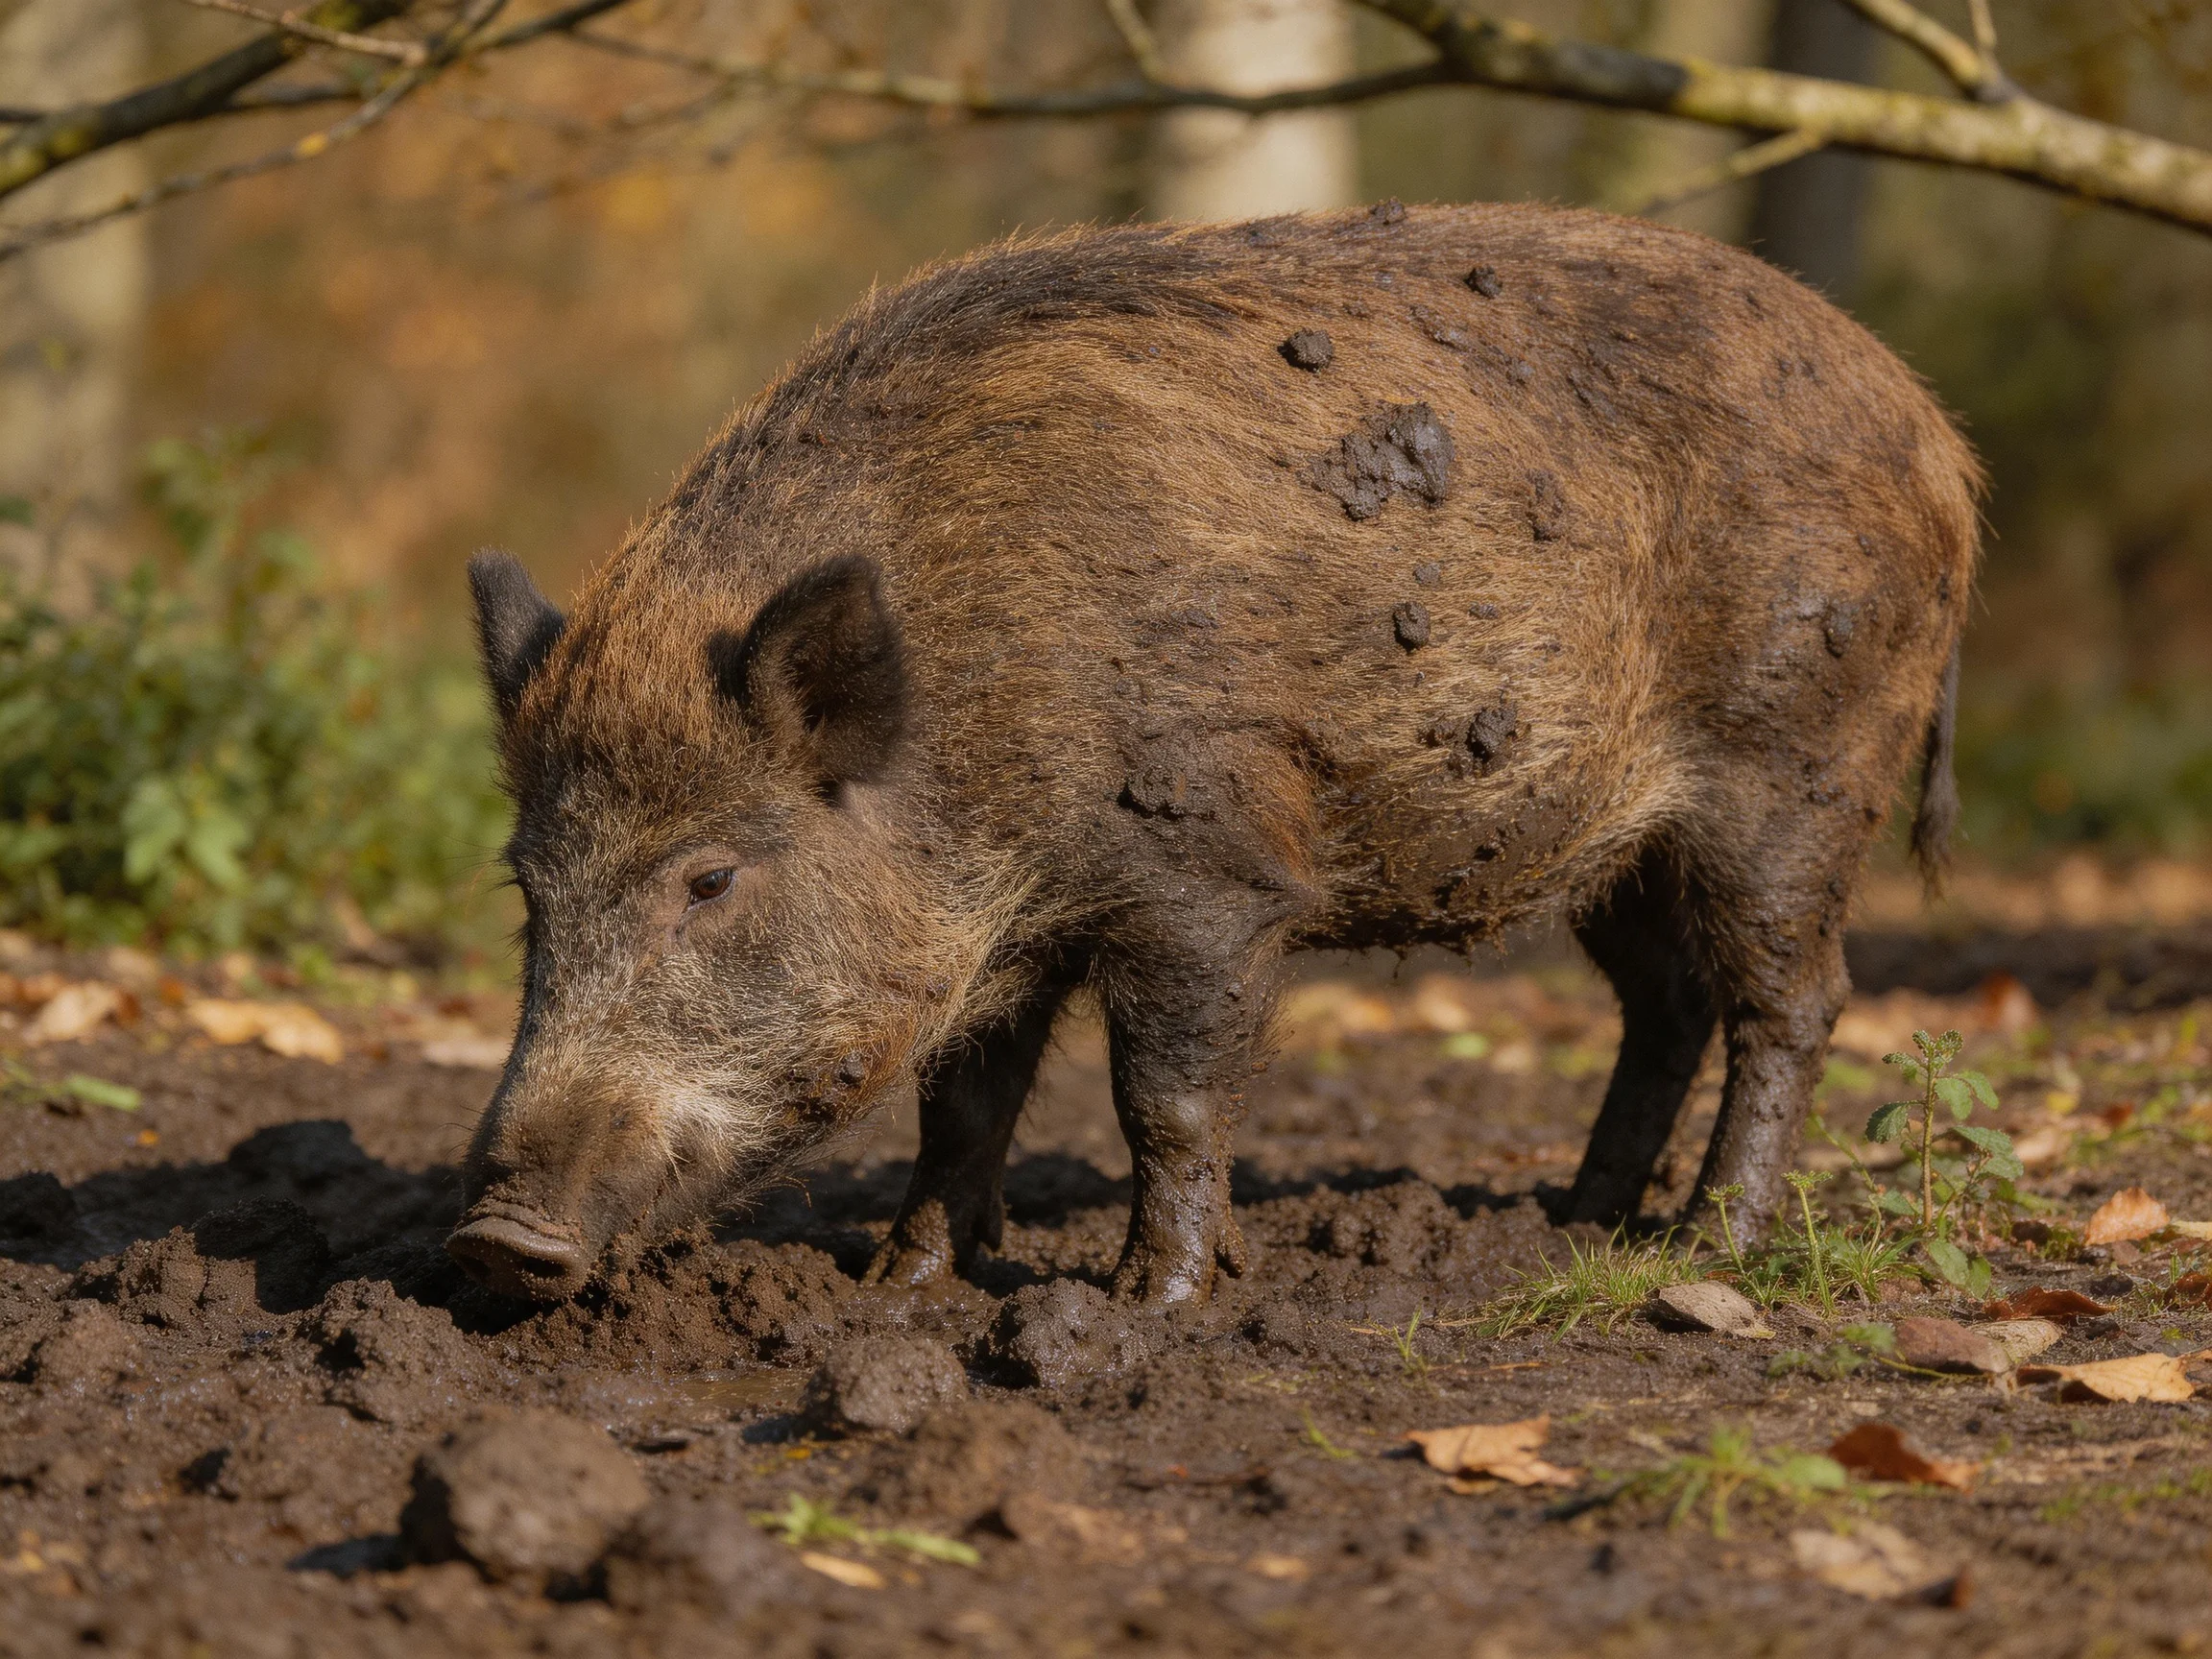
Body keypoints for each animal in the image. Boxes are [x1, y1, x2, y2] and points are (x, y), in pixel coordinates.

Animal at [446, 200, 1976, 1306]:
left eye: (709, 879)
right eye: (529, 891)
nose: (495, 1243)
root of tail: (1940, 439)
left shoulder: (1208, 878)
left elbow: (1166, 1100)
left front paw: (1150, 1306)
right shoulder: (1003, 945)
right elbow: (961, 1109)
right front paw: (897, 1291)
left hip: (1796, 772)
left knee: (1794, 999)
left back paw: (1709, 1250)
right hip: (1608, 842)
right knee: (1665, 1003)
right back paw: (1572, 1223)